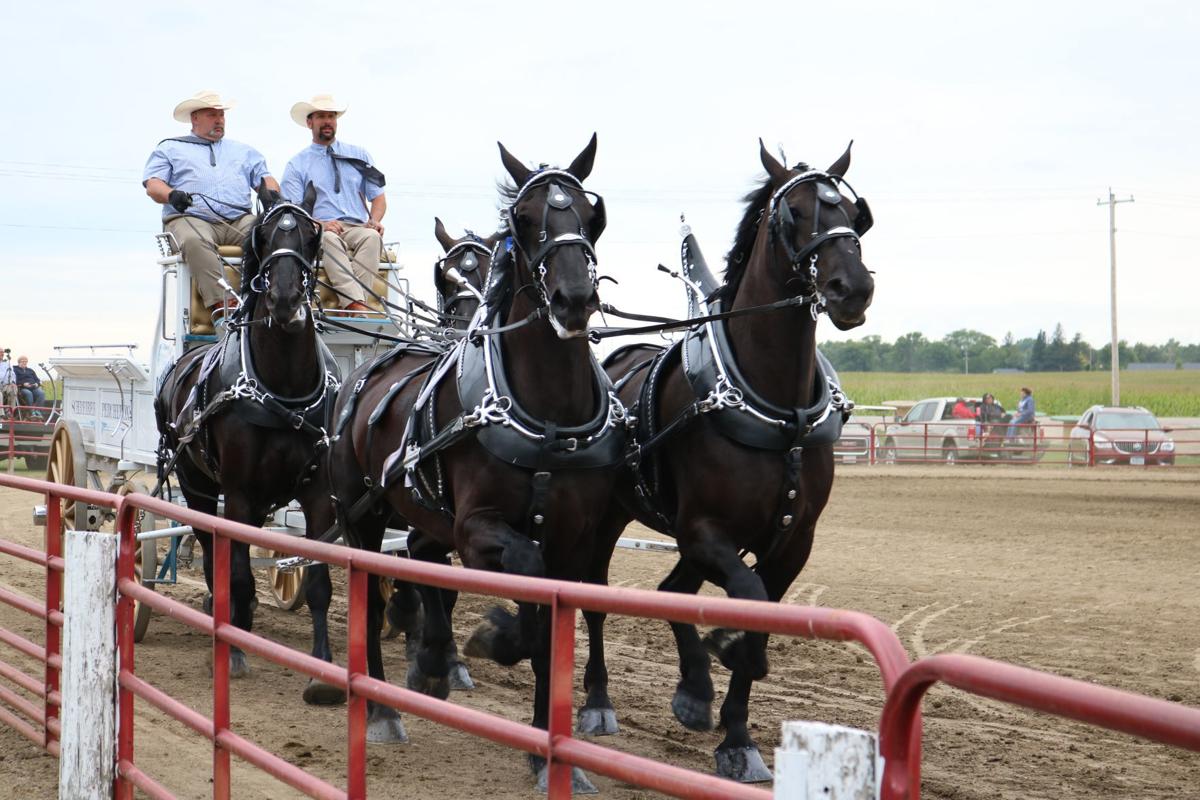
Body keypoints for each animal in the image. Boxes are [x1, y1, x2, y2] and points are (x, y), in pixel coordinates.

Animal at [154, 184, 343, 694]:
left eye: (312, 236)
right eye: (265, 234)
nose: (285, 299)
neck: (284, 389)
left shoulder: (318, 493)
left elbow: (319, 581)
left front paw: (323, 668)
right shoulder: (236, 494)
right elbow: (235, 572)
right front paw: (234, 652)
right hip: (197, 486)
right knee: (212, 551)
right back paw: (226, 620)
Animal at [326, 135, 623, 791]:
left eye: (591, 216)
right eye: (525, 220)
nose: (574, 299)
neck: (548, 416)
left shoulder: (575, 539)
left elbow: (553, 630)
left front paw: (548, 756)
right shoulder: (476, 528)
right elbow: (528, 599)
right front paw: (496, 638)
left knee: (418, 560)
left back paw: (433, 662)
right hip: (361, 514)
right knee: (372, 600)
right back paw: (384, 708)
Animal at [598, 142, 876, 782]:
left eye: (855, 211)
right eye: (794, 213)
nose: (852, 288)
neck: (778, 404)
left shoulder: (793, 540)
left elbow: (760, 609)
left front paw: (738, 737)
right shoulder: (705, 531)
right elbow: (747, 596)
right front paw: (724, 651)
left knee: (672, 589)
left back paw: (694, 690)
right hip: (598, 520)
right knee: (587, 596)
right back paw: (597, 699)